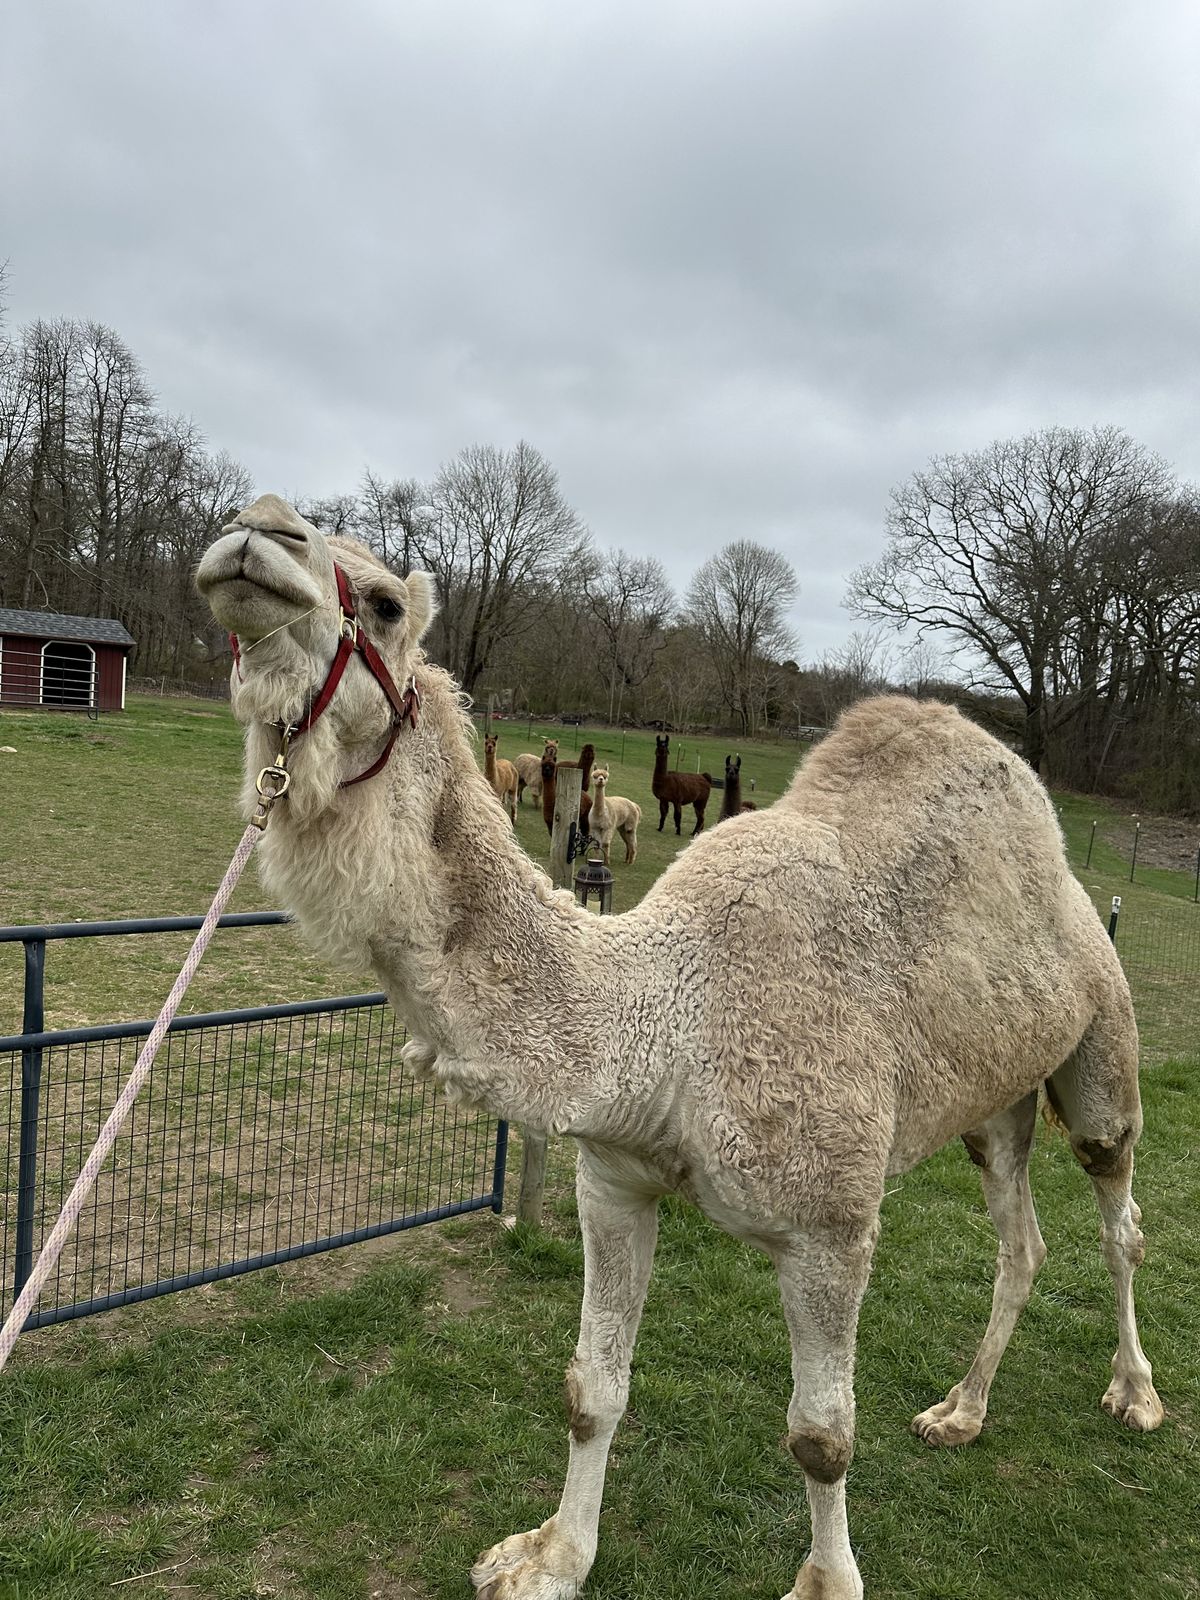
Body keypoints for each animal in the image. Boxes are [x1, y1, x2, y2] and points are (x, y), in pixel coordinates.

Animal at [197, 496, 1162, 1600]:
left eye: (389, 601)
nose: (256, 531)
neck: (663, 1022)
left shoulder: (832, 1228)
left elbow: (821, 1435)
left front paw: (827, 1580)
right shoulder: (616, 1179)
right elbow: (592, 1387)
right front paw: (547, 1557)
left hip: (1102, 1032)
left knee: (1118, 1207)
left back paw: (1135, 1393)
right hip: (994, 1093)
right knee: (1020, 1235)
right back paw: (960, 1409)